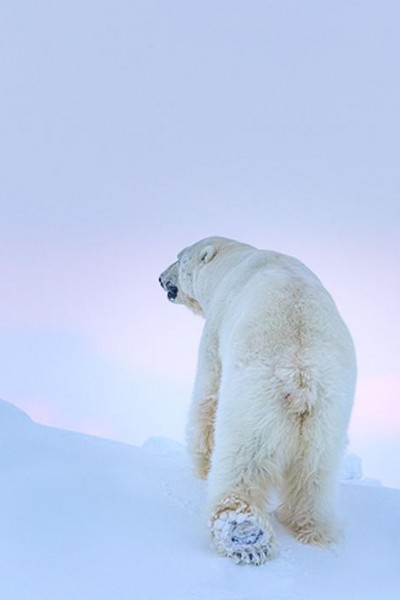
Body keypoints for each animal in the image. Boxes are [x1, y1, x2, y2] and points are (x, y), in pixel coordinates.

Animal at [159, 237, 356, 564]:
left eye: (179, 257)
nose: (161, 278)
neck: (235, 260)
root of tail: (301, 377)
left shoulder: (217, 329)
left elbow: (207, 395)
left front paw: (201, 467)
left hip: (255, 404)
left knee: (242, 463)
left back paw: (243, 534)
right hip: (329, 416)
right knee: (315, 478)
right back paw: (313, 531)